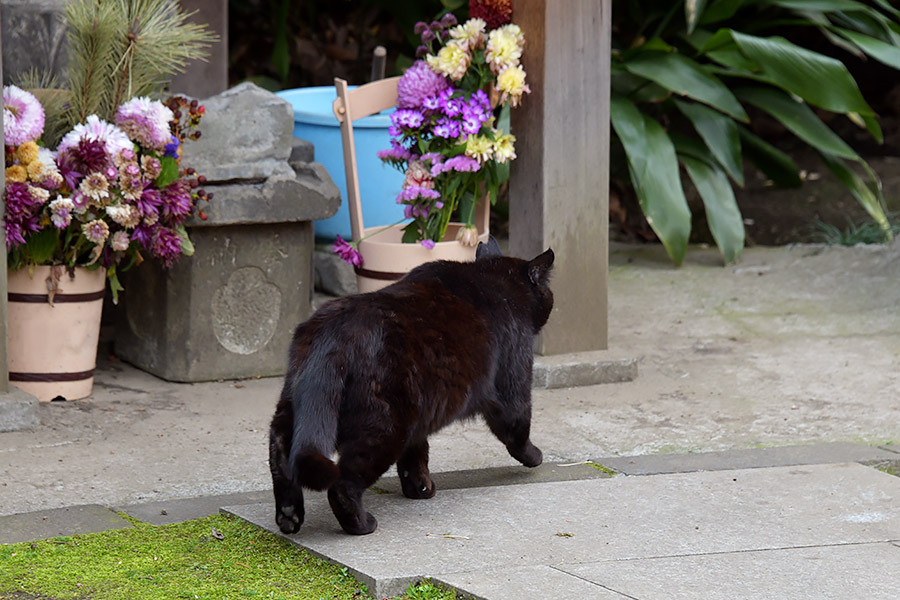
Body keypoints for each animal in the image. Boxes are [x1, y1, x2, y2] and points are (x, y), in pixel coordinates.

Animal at [268, 241, 552, 536]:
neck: (493, 280)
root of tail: (333, 334)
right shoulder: (513, 387)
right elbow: (517, 429)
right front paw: (535, 456)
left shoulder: (423, 414)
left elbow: (415, 454)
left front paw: (419, 488)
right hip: (384, 428)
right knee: (342, 485)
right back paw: (361, 525)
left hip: (295, 407)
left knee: (280, 454)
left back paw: (288, 516)